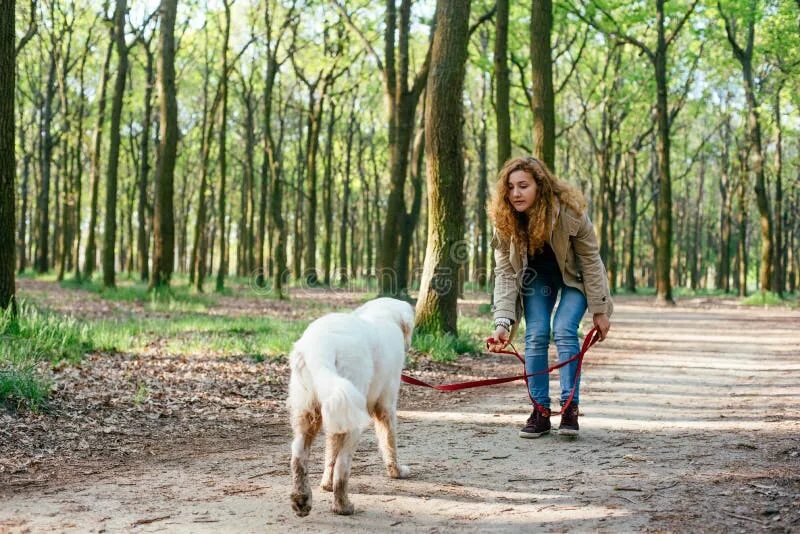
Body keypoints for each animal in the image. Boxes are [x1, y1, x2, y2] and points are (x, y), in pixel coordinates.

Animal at [286, 300, 412, 516]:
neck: (384, 314)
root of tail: (321, 345)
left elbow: (331, 451)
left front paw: (325, 485)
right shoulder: (386, 406)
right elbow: (390, 442)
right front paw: (396, 471)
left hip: (312, 410)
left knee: (299, 456)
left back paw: (301, 500)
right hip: (353, 413)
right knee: (342, 467)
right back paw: (343, 505)